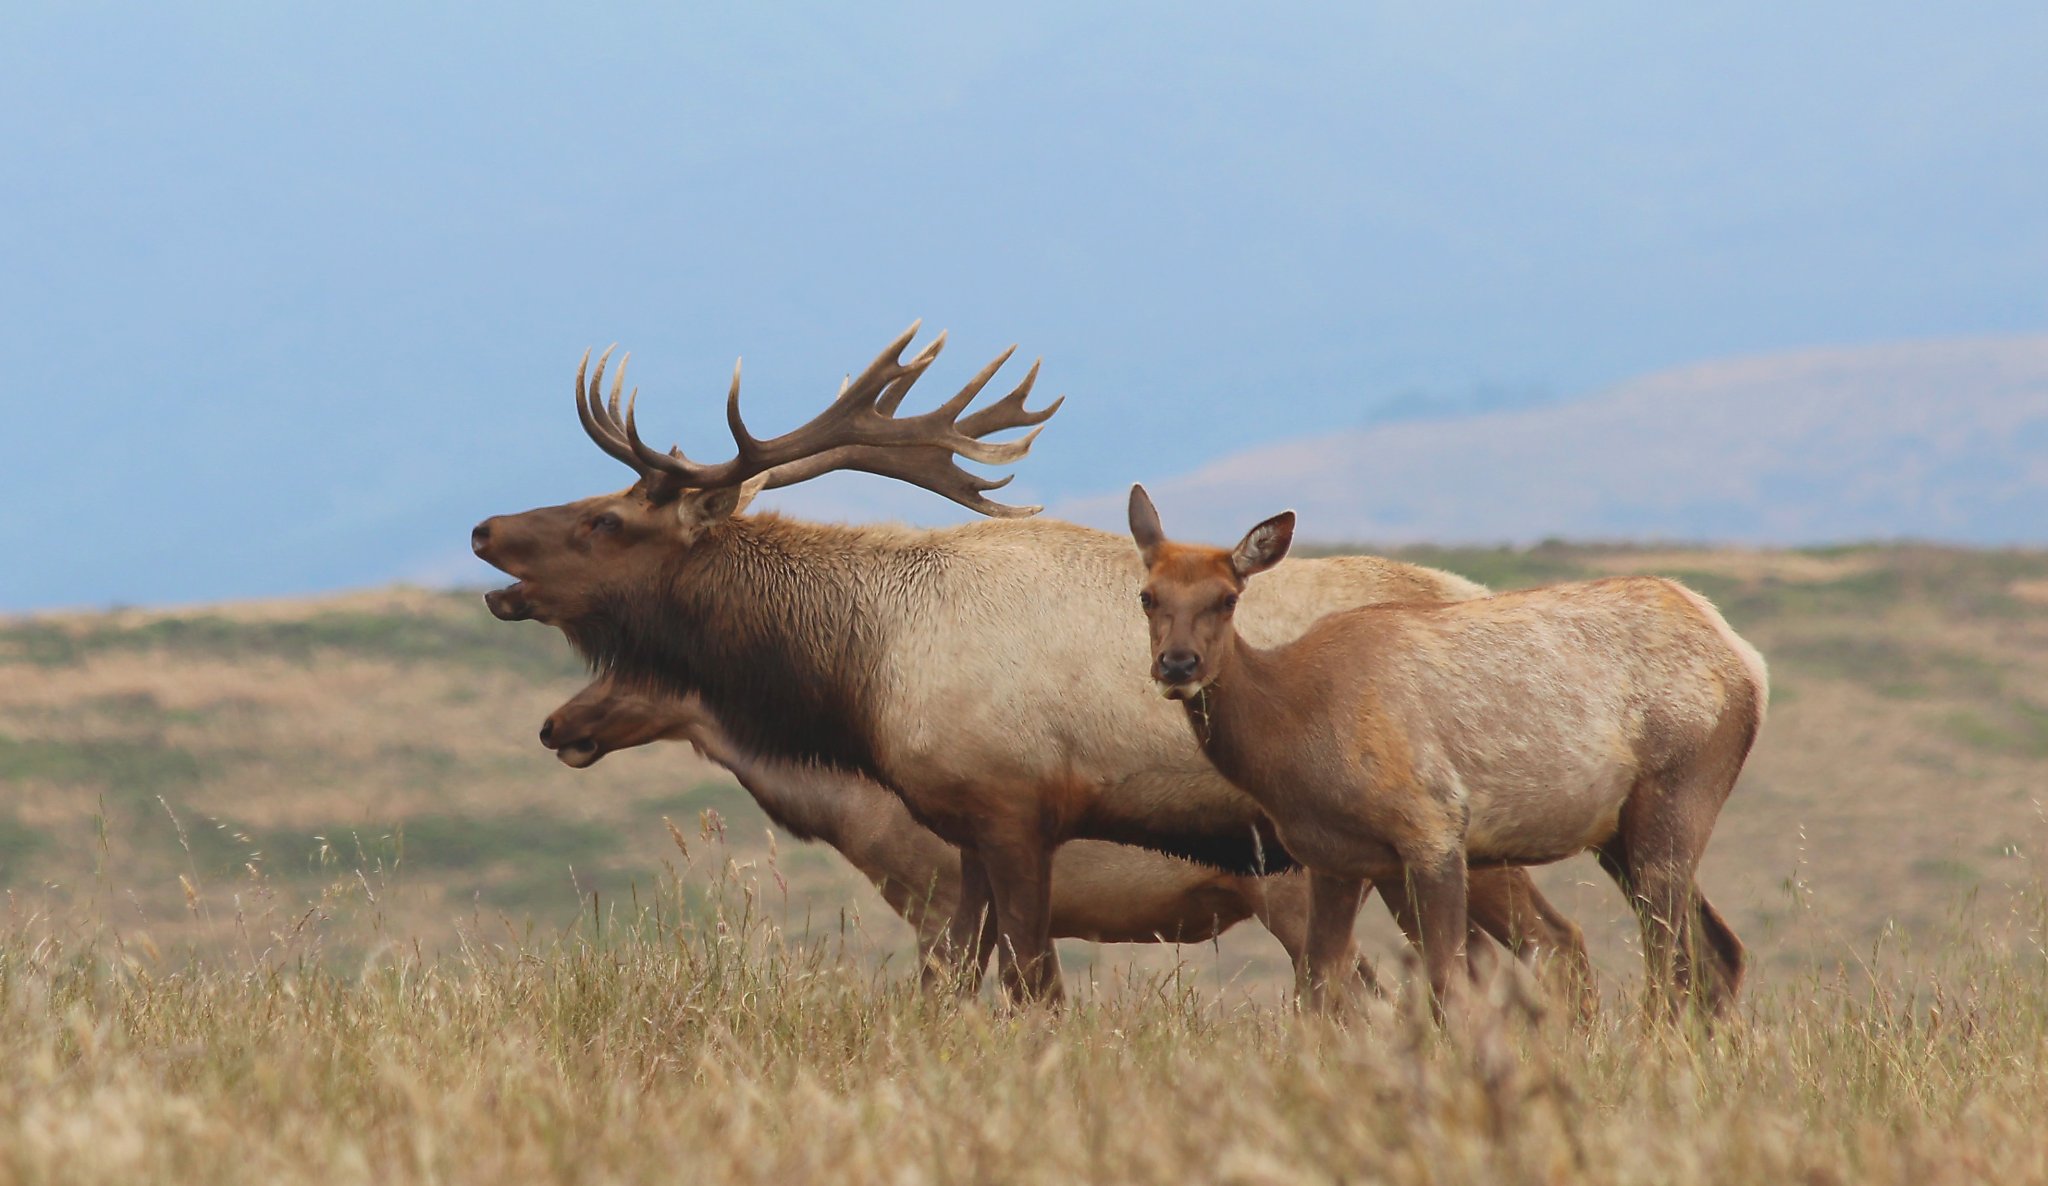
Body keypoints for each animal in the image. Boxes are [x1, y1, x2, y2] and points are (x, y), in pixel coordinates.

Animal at [471, 321, 1589, 1003]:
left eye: (606, 520)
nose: (484, 531)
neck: (865, 668)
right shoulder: (961, 830)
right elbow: (954, 994)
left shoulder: (1012, 813)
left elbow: (1035, 991)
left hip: (1434, 835)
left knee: (1548, 947)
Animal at [1130, 487, 1769, 1024]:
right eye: (1147, 596)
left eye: (1227, 598)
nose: (1178, 664)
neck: (1292, 739)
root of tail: (1746, 659)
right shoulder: (1334, 859)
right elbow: (1317, 991)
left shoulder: (1433, 828)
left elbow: (1447, 986)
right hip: (1616, 830)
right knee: (1717, 950)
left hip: (1680, 789)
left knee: (1667, 959)